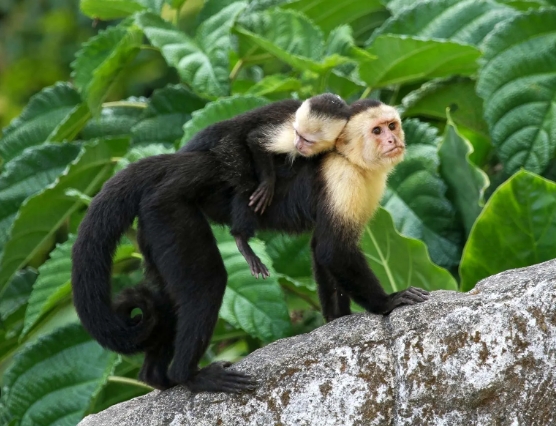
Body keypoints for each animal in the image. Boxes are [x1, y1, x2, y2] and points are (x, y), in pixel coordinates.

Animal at [184, 94, 348, 280]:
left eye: (307, 140)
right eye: (298, 134)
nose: (298, 145)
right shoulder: (288, 131)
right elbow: (256, 139)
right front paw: (268, 183)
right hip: (228, 146)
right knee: (246, 181)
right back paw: (241, 237)